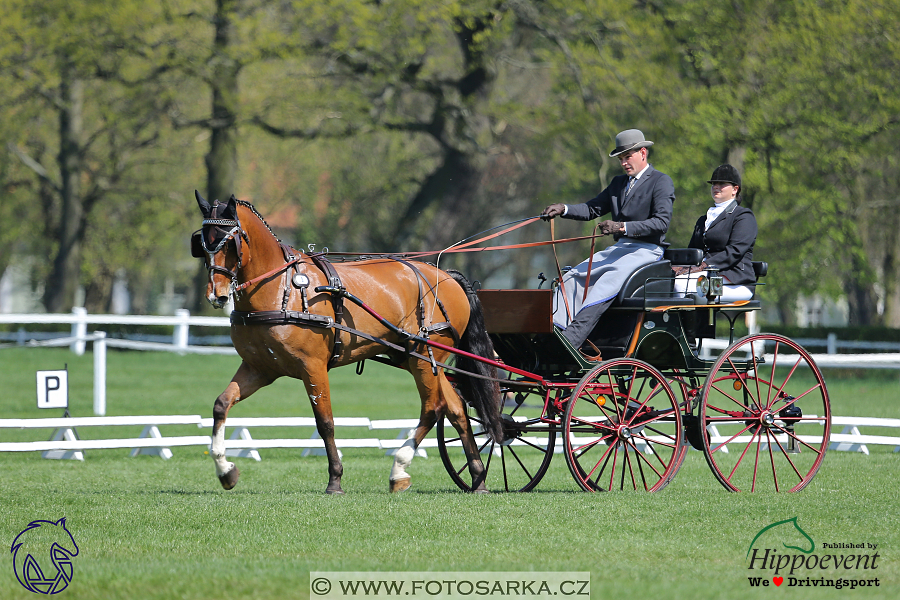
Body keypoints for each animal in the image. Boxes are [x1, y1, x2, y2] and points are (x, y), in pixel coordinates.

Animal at [193, 191, 502, 492]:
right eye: (201, 244)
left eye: (229, 244)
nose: (217, 295)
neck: (282, 289)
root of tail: (447, 276)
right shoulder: (260, 368)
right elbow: (221, 404)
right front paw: (225, 470)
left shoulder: (313, 366)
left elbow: (325, 422)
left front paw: (335, 479)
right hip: (414, 357)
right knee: (456, 408)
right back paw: (477, 477)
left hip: (424, 355)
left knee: (433, 407)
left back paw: (399, 470)